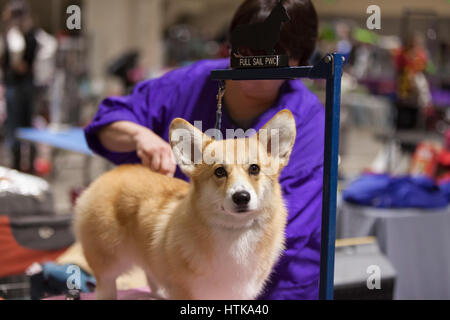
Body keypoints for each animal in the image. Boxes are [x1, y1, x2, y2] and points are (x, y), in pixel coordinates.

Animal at [74, 110, 296, 300]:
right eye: (219, 172)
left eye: (254, 169)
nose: (241, 197)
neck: (235, 233)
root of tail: (112, 173)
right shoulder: (185, 291)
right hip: (107, 262)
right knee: (106, 284)